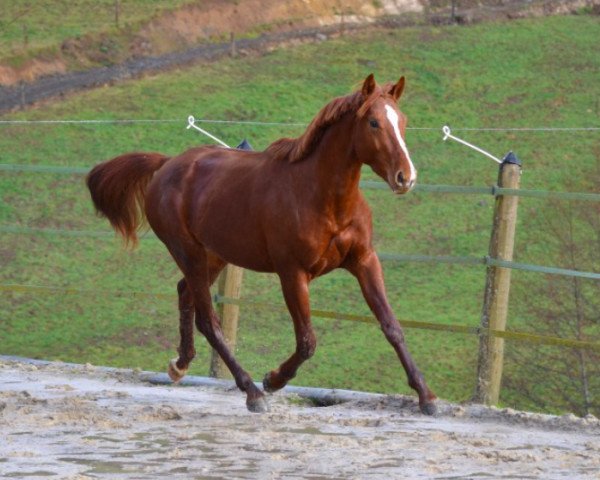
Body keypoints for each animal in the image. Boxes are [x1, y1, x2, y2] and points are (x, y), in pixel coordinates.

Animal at [86, 74, 436, 412]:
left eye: (402, 121)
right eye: (374, 123)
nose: (406, 177)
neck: (323, 198)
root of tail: (167, 164)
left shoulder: (364, 261)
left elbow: (391, 326)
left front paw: (426, 396)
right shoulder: (292, 273)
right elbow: (307, 341)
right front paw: (273, 379)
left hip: (214, 256)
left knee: (185, 294)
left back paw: (179, 365)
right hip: (189, 252)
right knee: (208, 320)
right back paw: (252, 392)